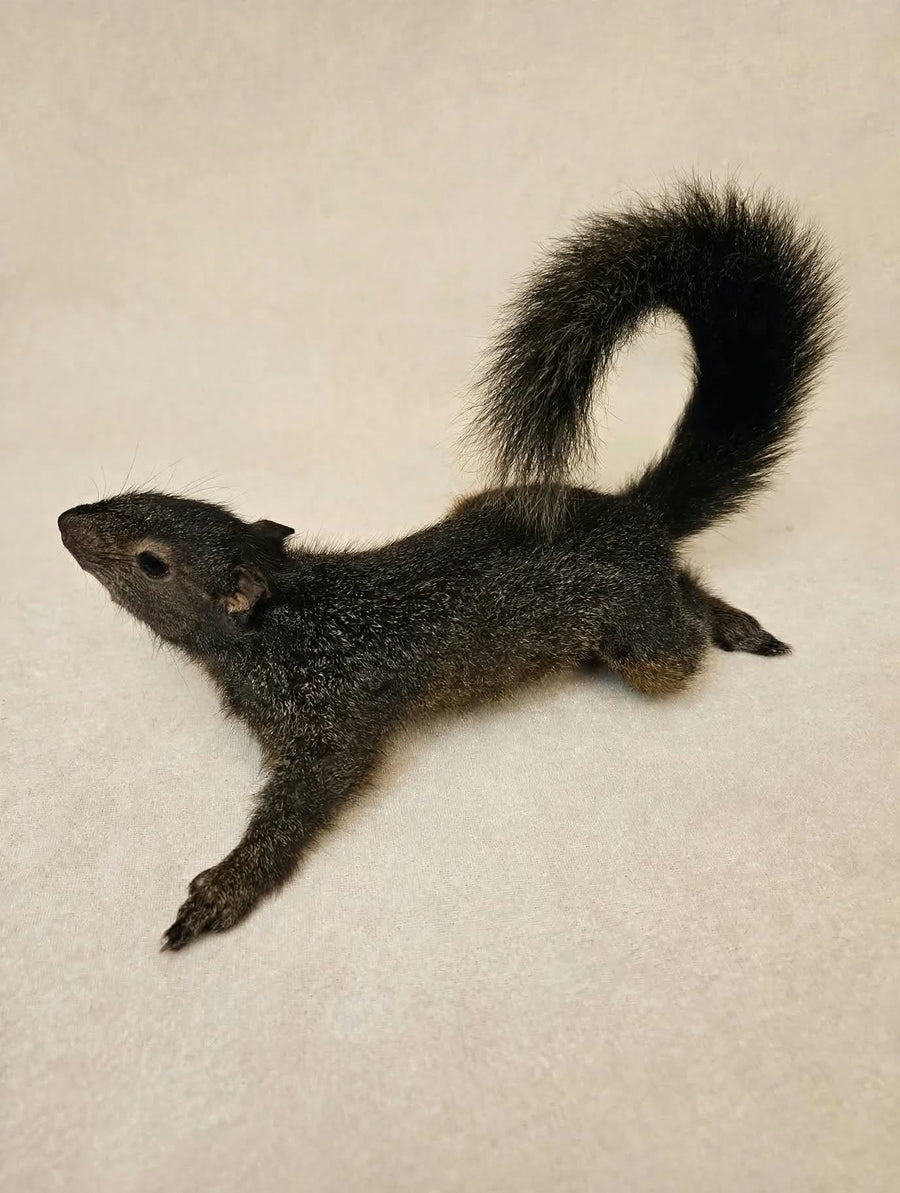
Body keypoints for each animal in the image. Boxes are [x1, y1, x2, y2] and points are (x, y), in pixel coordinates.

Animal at [58, 180, 837, 951]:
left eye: (151, 563)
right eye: (141, 497)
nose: (66, 522)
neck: (280, 623)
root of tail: (635, 515)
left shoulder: (331, 718)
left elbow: (305, 800)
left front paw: (225, 887)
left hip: (643, 643)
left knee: (680, 613)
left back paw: (727, 620)